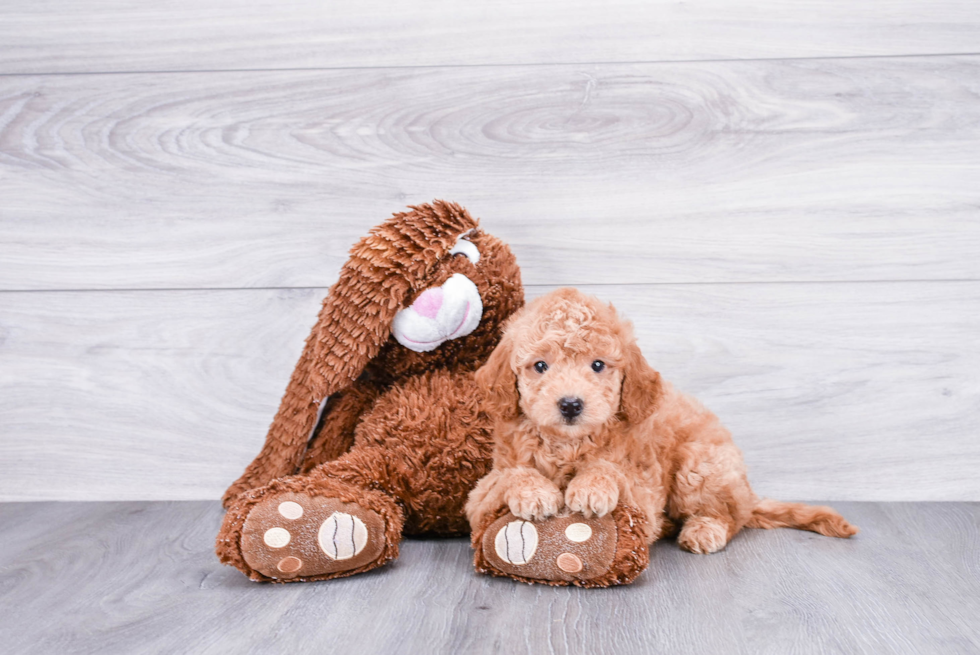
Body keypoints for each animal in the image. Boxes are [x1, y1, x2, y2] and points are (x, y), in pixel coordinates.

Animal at [464, 288, 852, 568]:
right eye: (540, 366)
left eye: (598, 365)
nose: (571, 404)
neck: (568, 444)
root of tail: (748, 491)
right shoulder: (480, 498)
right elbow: (507, 476)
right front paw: (534, 492)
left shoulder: (643, 497)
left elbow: (611, 469)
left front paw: (591, 486)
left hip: (700, 463)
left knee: (731, 515)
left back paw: (704, 529)